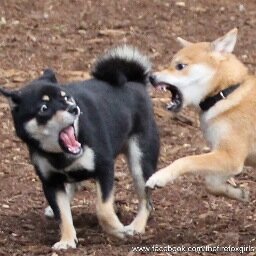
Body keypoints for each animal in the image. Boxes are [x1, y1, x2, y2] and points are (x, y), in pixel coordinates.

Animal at [0, 45, 159, 249]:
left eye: (66, 98)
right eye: (44, 108)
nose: (73, 108)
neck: (60, 154)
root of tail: (135, 81)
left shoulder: (105, 168)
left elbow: (103, 209)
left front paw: (119, 230)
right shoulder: (50, 182)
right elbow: (63, 214)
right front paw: (67, 240)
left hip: (141, 165)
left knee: (147, 202)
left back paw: (136, 226)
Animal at [146, 28, 254, 202]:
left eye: (180, 66)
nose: (151, 77)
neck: (225, 93)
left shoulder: (231, 156)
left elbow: (185, 160)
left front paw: (160, 176)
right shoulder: (225, 158)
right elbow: (211, 184)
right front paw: (237, 193)